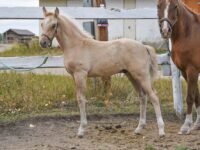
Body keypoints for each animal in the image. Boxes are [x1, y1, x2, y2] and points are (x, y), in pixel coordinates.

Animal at [39, 7, 165, 138]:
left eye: (54, 25)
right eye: (42, 23)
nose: (42, 43)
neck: (76, 45)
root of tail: (144, 46)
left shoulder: (80, 75)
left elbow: (81, 99)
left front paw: (81, 130)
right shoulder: (74, 76)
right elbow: (79, 98)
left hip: (141, 75)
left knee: (154, 96)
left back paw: (161, 131)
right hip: (131, 75)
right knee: (143, 96)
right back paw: (139, 128)